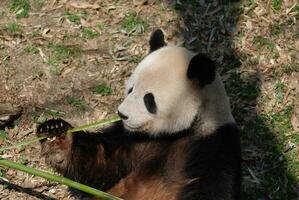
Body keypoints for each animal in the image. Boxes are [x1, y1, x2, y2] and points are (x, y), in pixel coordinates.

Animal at [37, 29, 241, 200]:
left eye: (149, 100)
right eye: (130, 89)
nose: (122, 114)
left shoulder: (212, 146)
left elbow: (212, 189)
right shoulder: (133, 141)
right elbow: (102, 166)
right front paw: (57, 136)